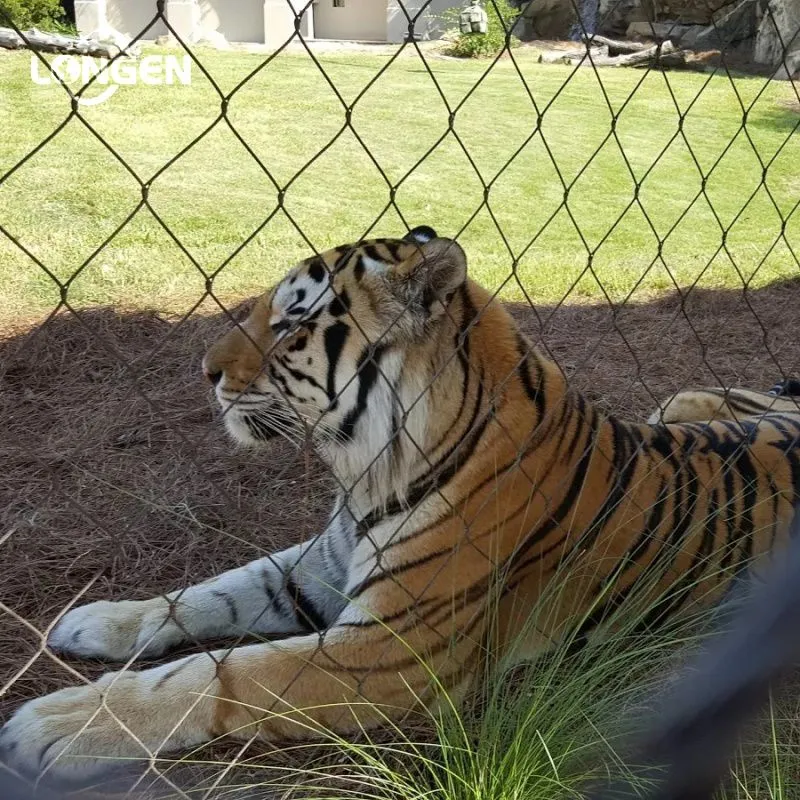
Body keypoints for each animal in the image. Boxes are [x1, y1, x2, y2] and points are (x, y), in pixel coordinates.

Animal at [4, 226, 800, 783]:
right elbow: (208, 594)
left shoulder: (396, 648)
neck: (363, 470)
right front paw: (98, 620)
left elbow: (222, 670)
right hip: (712, 403)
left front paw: (62, 722)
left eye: (291, 324)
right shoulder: (318, 569)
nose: (205, 372)